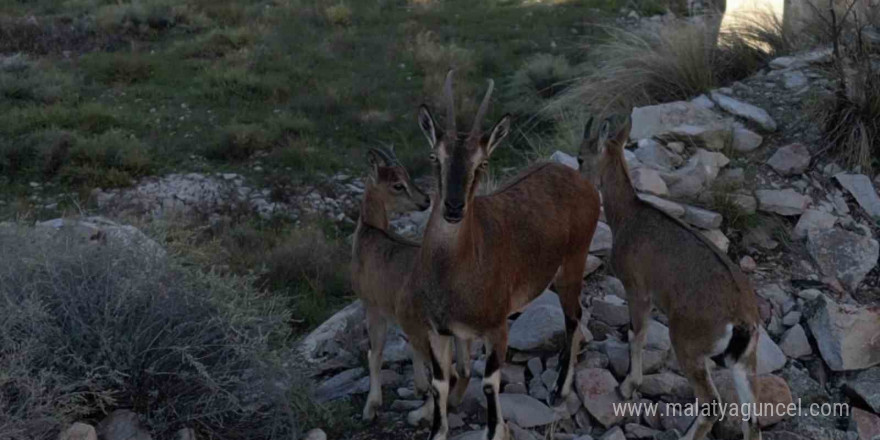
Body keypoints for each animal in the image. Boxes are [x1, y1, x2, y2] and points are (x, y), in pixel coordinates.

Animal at [402, 72, 600, 440]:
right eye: (436, 157)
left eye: (482, 163)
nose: (453, 208)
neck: (455, 272)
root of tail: (581, 180)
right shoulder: (438, 330)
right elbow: (439, 384)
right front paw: (436, 429)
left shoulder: (497, 328)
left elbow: (490, 383)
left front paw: (496, 429)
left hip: (574, 263)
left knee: (574, 316)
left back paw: (560, 389)